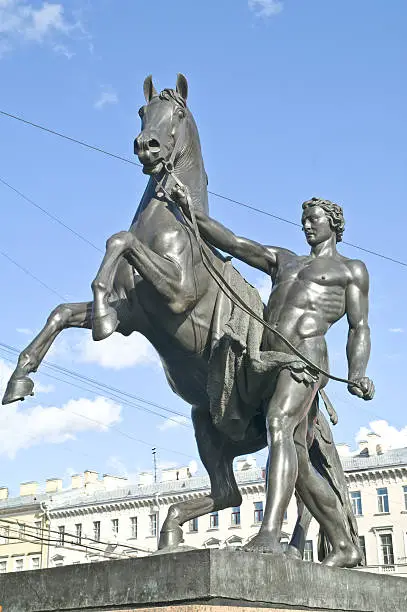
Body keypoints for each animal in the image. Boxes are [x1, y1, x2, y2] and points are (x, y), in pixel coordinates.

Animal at [1, 73, 354, 560]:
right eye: (140, 111)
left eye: (179, 113)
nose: (146, 146)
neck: (172, 226)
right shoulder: (136, 315)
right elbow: (61, 311)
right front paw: (20, 379)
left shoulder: (178, 295)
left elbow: (118, 240)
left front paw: (99, 316)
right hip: (208, 422)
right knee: (237, 491)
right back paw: (174, 535)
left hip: (284, 418)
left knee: (294, 490)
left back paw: (289, 549)